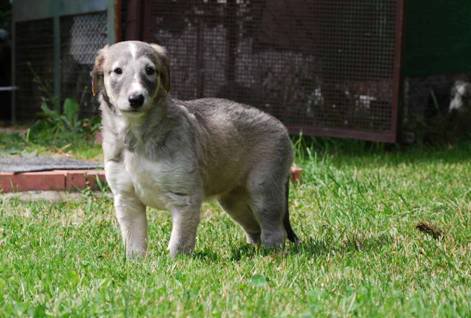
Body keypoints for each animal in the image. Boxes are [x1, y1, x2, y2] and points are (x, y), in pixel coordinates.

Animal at [92, 40, 298, 258]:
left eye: (150, 70)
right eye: (118, 71)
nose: (136, 99)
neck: (137, 136)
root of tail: (280, 126)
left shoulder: (185, 198)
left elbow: (179, 241)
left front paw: (176, 261)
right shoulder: (127, 198)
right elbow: (135, 240)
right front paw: (135, 261)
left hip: (264, 189)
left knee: (274, 229)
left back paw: (271, 253)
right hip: (234, 200)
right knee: (254, 227)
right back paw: (253, 252)